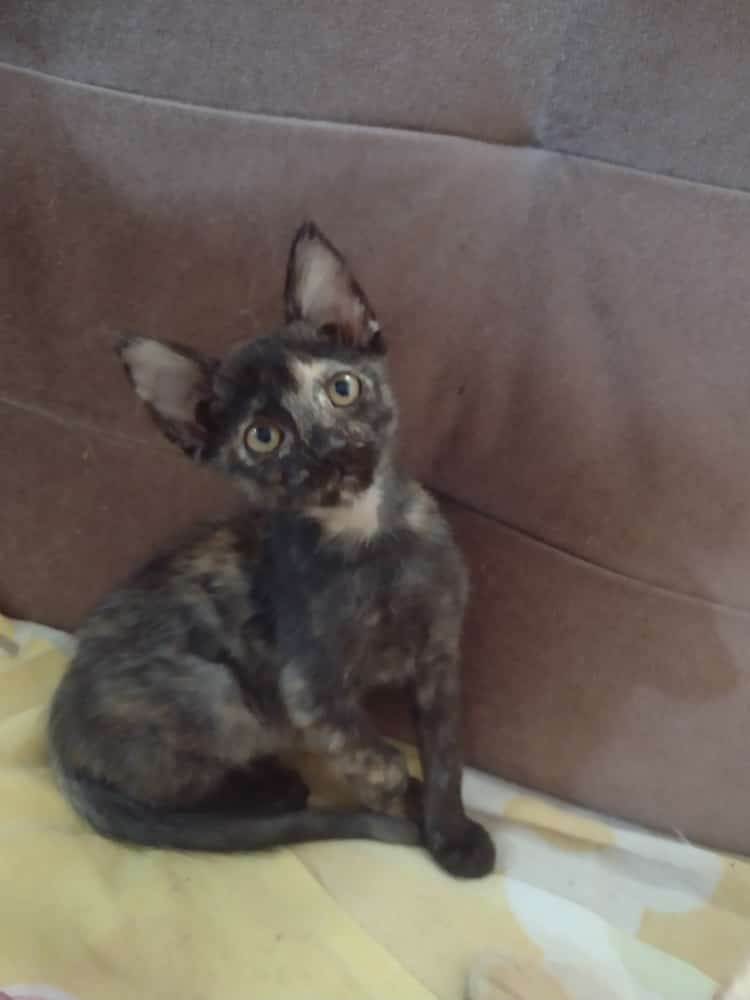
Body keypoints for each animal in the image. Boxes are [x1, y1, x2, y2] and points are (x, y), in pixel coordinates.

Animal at [47, 222, 495, 879]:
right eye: (264, 437)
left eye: (342, 388)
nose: (330, 452)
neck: (371, 537)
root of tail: (58, 736)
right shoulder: (312, 694)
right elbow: (379, 760)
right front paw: (408, 811)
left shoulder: (439, 655)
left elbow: (444, 752)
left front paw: (451, 831)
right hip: (219, 694)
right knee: (171, 791)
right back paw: (274, 788)